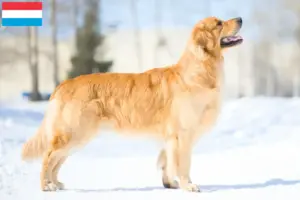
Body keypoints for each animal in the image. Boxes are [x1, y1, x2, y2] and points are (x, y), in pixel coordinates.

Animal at [21, 16, 243, 192]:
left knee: (56, 161)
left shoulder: (171, 137)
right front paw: (188, 186)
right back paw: (46, 185)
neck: (199, 70)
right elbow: (183, 164)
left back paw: (56, 183)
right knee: (48, 157)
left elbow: (167, 161)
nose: (240, 18)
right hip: (74, 132)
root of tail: (63, 84)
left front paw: (170, 183)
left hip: (77, 137)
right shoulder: (183, 134)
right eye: (219, 23)